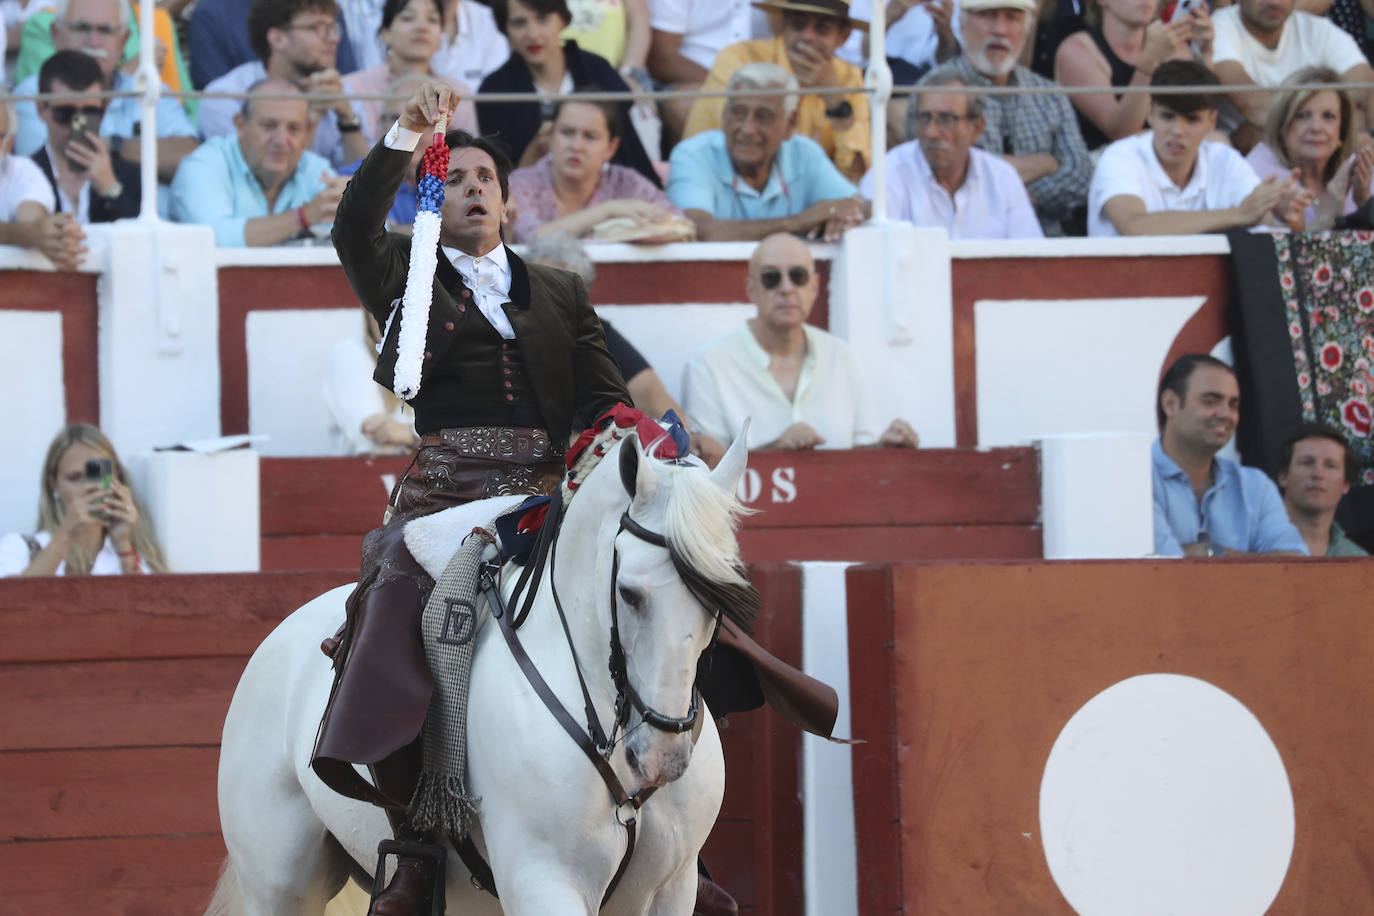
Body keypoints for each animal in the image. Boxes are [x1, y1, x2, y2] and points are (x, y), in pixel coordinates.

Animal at [208, 425, 758, 911]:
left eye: (723, 598)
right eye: (629, 593)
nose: (663, 757)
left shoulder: (670, 888)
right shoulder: (544, 878)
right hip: (278, 879)